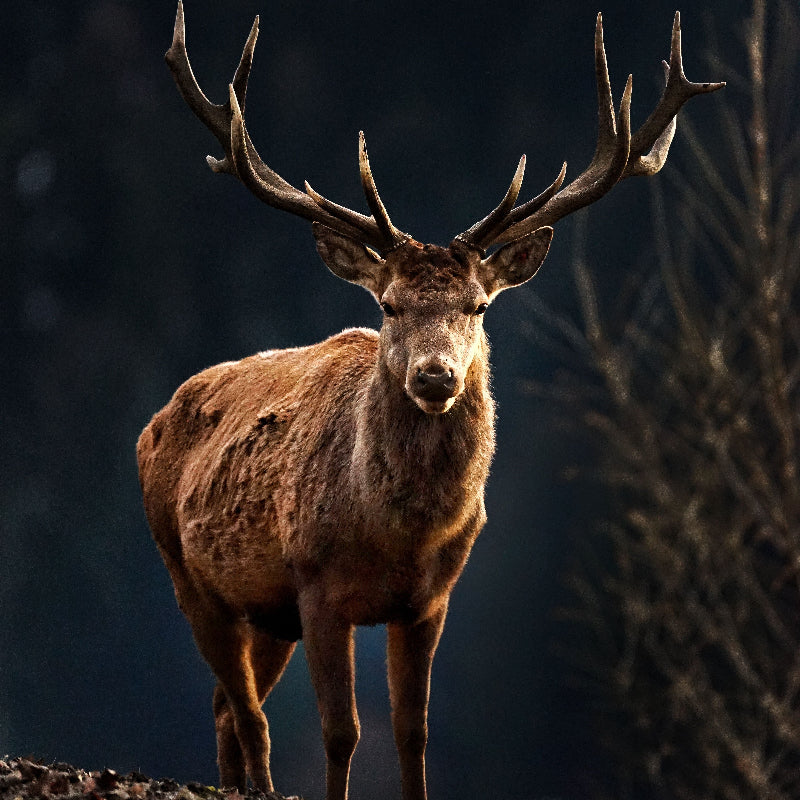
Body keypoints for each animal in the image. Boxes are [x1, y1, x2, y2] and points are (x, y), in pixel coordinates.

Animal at [137, 4, 723, 799]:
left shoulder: (430, 601)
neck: (397, 536)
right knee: (248, 714)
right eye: (387, 305)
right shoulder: (316, 585)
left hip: (263, 611)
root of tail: (154, 422)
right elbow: (342, 732)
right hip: (187, 575)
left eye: (478, 305)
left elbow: (412, 735)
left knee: (230, 710)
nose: (437, 376)